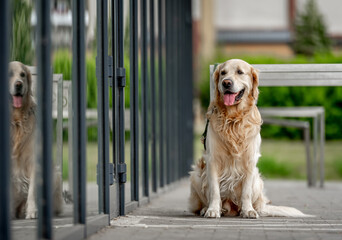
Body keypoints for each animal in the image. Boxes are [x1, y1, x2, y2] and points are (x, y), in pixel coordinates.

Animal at [9, 61, 62, 219]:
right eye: (9, 74)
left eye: (22, 74)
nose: (19, 84)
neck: (17, 121)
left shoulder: (34, 161)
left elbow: (32, 191)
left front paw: (32, 211)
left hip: (56, 174)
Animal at [188, 59, 308, 218]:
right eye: (223, 73)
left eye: (240, 72)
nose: (226, 83)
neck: (233, 118)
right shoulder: (212, 159)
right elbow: (214, 190)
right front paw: (212, 210)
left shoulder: (250, 160)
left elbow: (246, 192)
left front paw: (248, 210)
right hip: (196, 175)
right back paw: (208, 209)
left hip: (258, 180)